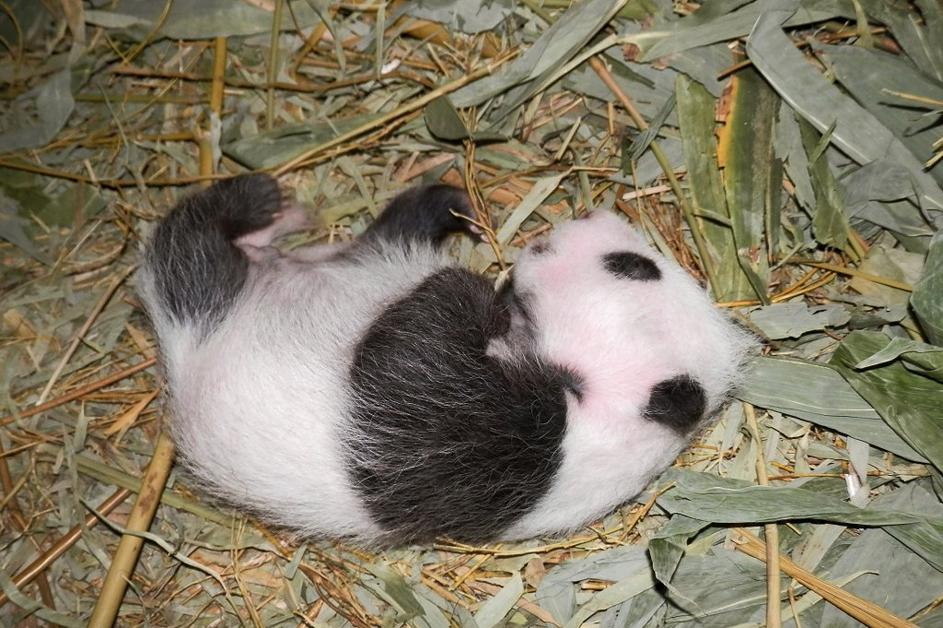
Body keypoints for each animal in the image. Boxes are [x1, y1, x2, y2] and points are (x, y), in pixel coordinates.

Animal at [137, 173, 752, 545]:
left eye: (631, 265)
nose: (591, 219)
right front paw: (467, 229)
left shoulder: (508, 456)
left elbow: (409, 368)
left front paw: (472, 290)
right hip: (353, 253)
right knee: (386, 232)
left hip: (203, 305)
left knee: (188, 247)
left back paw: (260, 209)